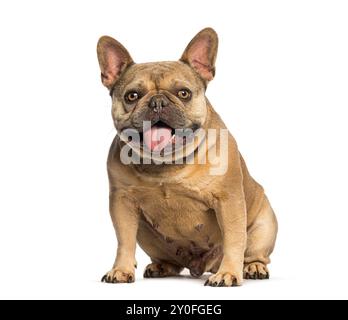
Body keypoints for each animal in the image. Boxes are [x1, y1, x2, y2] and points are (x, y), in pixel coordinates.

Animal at [96, 28, 276, 288]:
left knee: (254, 252)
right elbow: (124, 241)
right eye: (132, 96)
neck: (167, 164)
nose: (157, 102)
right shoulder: (122, 203)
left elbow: (234, 239)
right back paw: (161, 266)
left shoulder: (228, 201)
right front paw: (121, 269)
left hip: (265, 225)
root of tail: (201, 266)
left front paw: (229, 273)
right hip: (146, 235)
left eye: (183, 93)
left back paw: (252, 267)